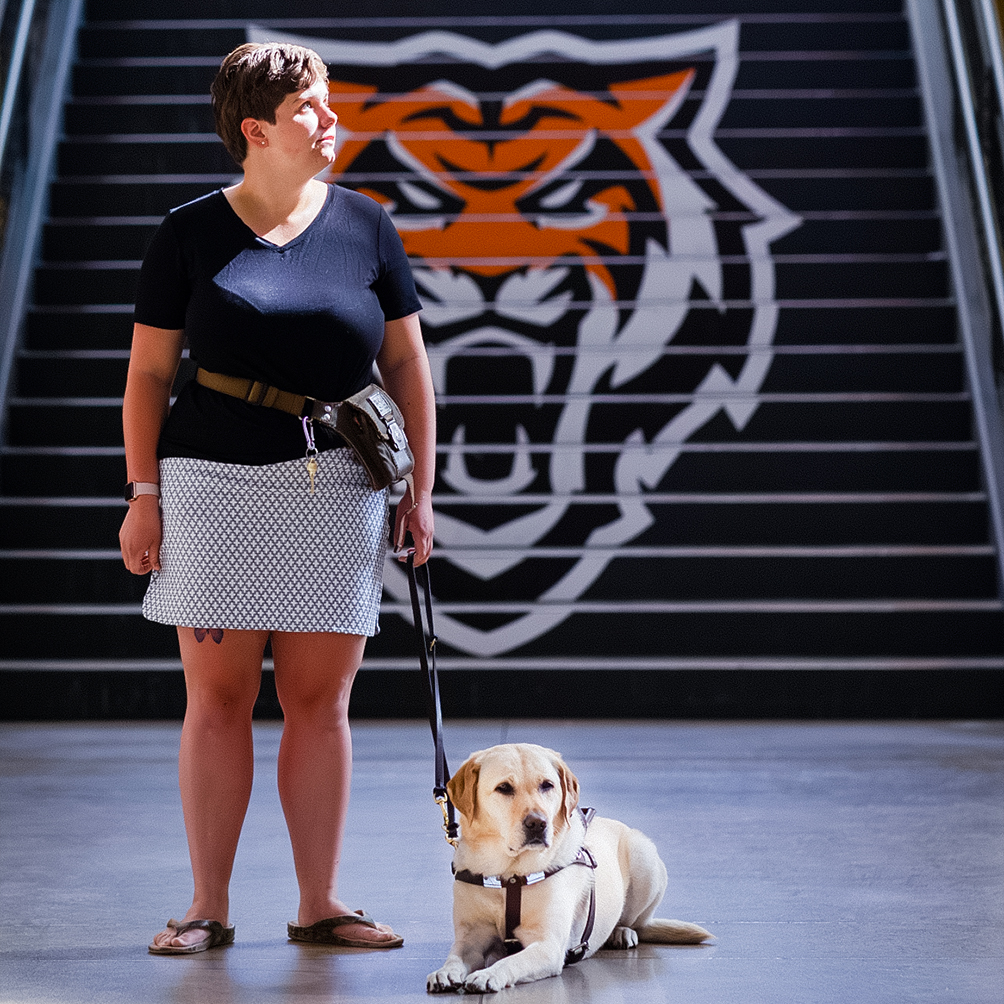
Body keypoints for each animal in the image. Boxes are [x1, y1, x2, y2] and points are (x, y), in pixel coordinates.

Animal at [427, 742, 710, 991]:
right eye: (504, 788)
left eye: (547, 785)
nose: (537, 823)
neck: (510, 875)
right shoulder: (470, 937)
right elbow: (456, 957)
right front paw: (445, 972)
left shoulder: (548, 945)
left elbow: (512, 961)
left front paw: (488, 974)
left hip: (644, 857)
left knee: (637, 922)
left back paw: (622, 932)